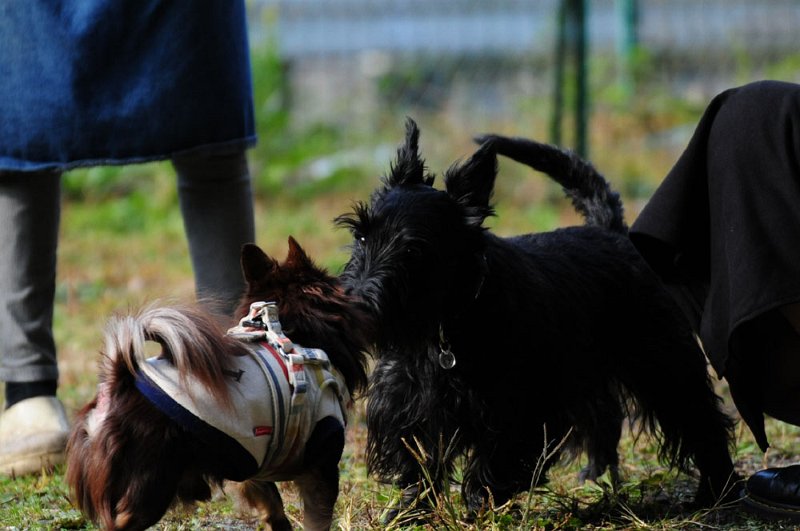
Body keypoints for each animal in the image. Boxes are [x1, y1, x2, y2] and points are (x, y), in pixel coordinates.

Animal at [66, 237, 369, 531]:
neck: (292, 335)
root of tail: (120, 381)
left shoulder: (253, 462)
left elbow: (272, 506)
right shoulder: (321, 464)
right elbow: (317, 519)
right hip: (151, 485)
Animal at [335, 120, 737, 516]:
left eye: (413, 251)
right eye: (361, 235)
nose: (353, 304)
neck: (445, 326)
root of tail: (611, 231)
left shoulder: (517, 410)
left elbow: (493, 462)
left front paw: (481, 508)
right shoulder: (406, 404)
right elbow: (416, 460)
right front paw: (409, 511)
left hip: (664, 365)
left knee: (702, 420)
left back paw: (717, 491)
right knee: (605, 416)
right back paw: (595, 475)